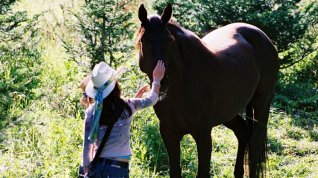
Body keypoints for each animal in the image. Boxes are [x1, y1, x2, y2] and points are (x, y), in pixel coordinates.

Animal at [136, 3, 278, 177]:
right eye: (143, 41)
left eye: (169, 41)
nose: (162, 82)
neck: (183, 87)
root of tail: (262, 35)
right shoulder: (169, 133)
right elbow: (175, 171)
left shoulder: (203, 134)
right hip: (229, 111)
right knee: (242, 131)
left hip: (262, 103)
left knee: (255, 144)